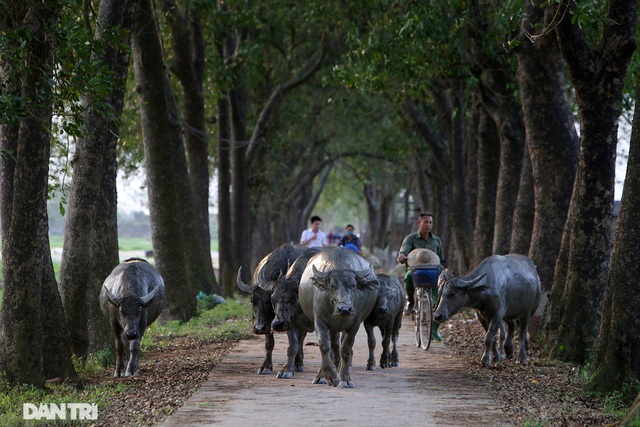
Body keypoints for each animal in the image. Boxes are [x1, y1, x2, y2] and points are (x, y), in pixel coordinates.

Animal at [236, 244, 306, 374]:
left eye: (269, 301)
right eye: (252, 301)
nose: (259, 328)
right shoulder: (268, 323)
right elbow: (269, 343)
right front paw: (266, 367)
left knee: (301, 338)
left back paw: (299, 363)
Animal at [270, 246, 322, 380]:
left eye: (292, 299)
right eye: (273, 299)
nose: (277, 324)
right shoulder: (292, 323)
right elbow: (292, 346)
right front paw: (287, 370)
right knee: (300, 340)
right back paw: (298, 364)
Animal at [298, 246, 378, 390]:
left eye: (353, 285)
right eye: (332, 286)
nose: (345, 309)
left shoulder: (355, 324)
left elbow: (345, 349)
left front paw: (345, 379)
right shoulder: (319, 320)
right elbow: (324, 346)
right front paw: (329, 376)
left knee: (339, 348)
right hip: (332, 327)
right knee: (333, 347)